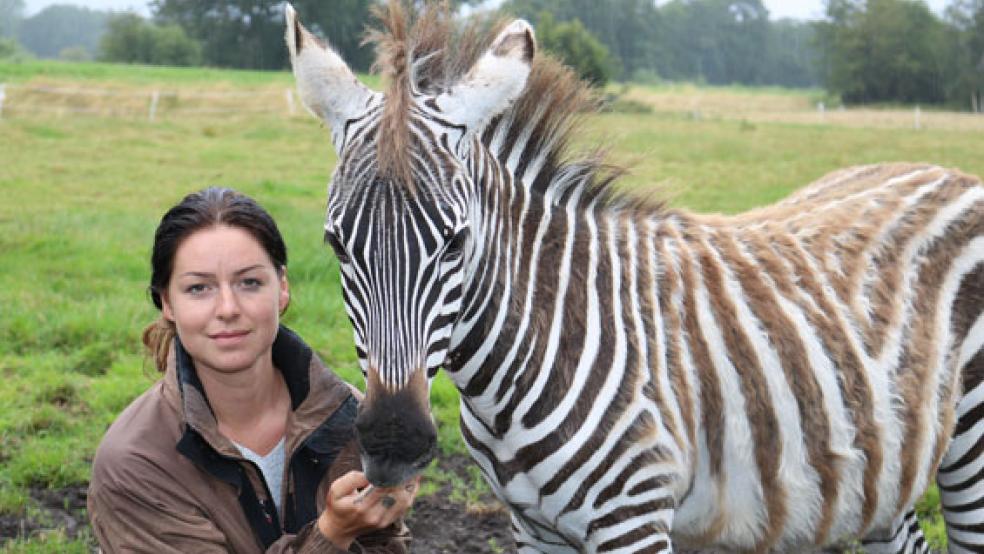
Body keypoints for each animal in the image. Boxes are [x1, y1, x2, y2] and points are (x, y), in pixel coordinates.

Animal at [284, 2, 984, 552]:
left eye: (457, 242)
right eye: (335, 243)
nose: (393, 442)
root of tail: (946, 171)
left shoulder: (635, 518)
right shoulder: (532, 528)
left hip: (971, 455)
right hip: (883, 473)